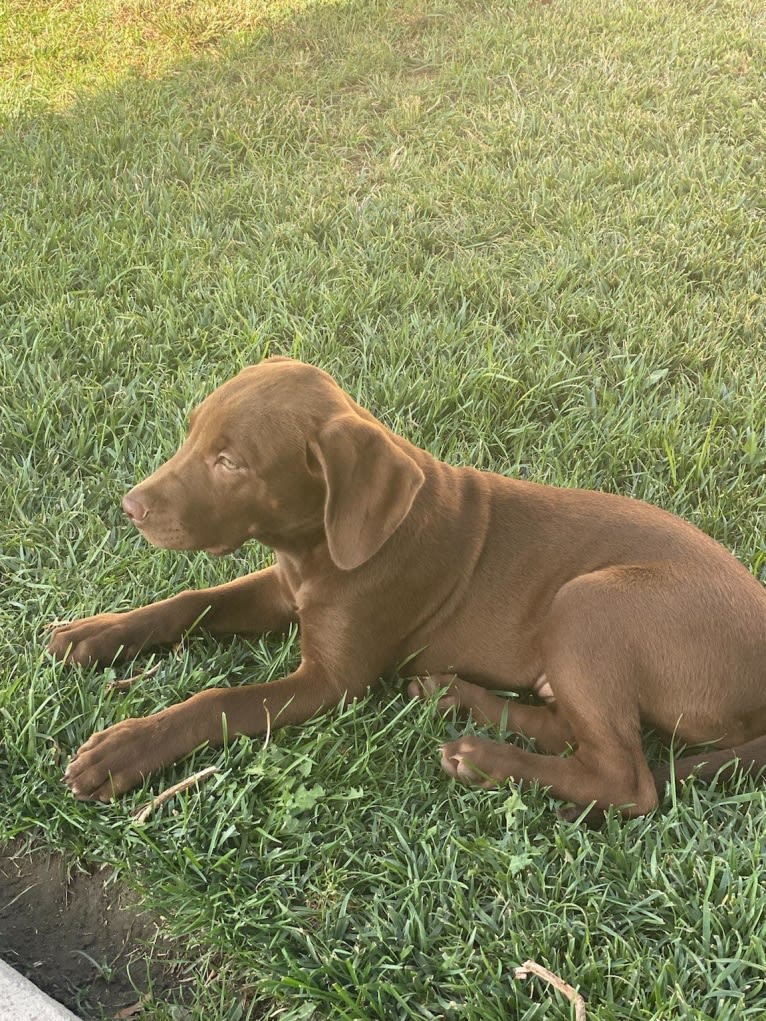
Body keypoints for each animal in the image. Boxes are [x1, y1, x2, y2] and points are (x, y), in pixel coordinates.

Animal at [49, 357, 766, 812]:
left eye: (230, 462)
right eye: (192, 432)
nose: (131, 507)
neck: (316, 547)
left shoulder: (331, 682)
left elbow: (217, 700)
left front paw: (125, 747)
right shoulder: (282, 589)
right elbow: (191, 601)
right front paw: (96, 632)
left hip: (592, 602)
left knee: (628, 781)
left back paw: (487, 760)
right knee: (574, 733)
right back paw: (453, 696)